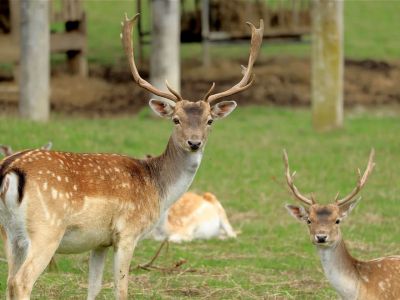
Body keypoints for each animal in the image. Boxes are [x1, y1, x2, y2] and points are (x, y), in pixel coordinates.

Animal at [0, 12, 264, 298]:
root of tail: (11, 168)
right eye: (176, 119)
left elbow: (93, 289)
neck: (157, 189)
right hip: (46, 229)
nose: (194, 142)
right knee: (20, 280)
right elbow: (121, 288)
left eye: (209, 121)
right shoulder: (127, 232)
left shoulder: (100, 242)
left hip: (11, 234)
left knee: (8, 279)